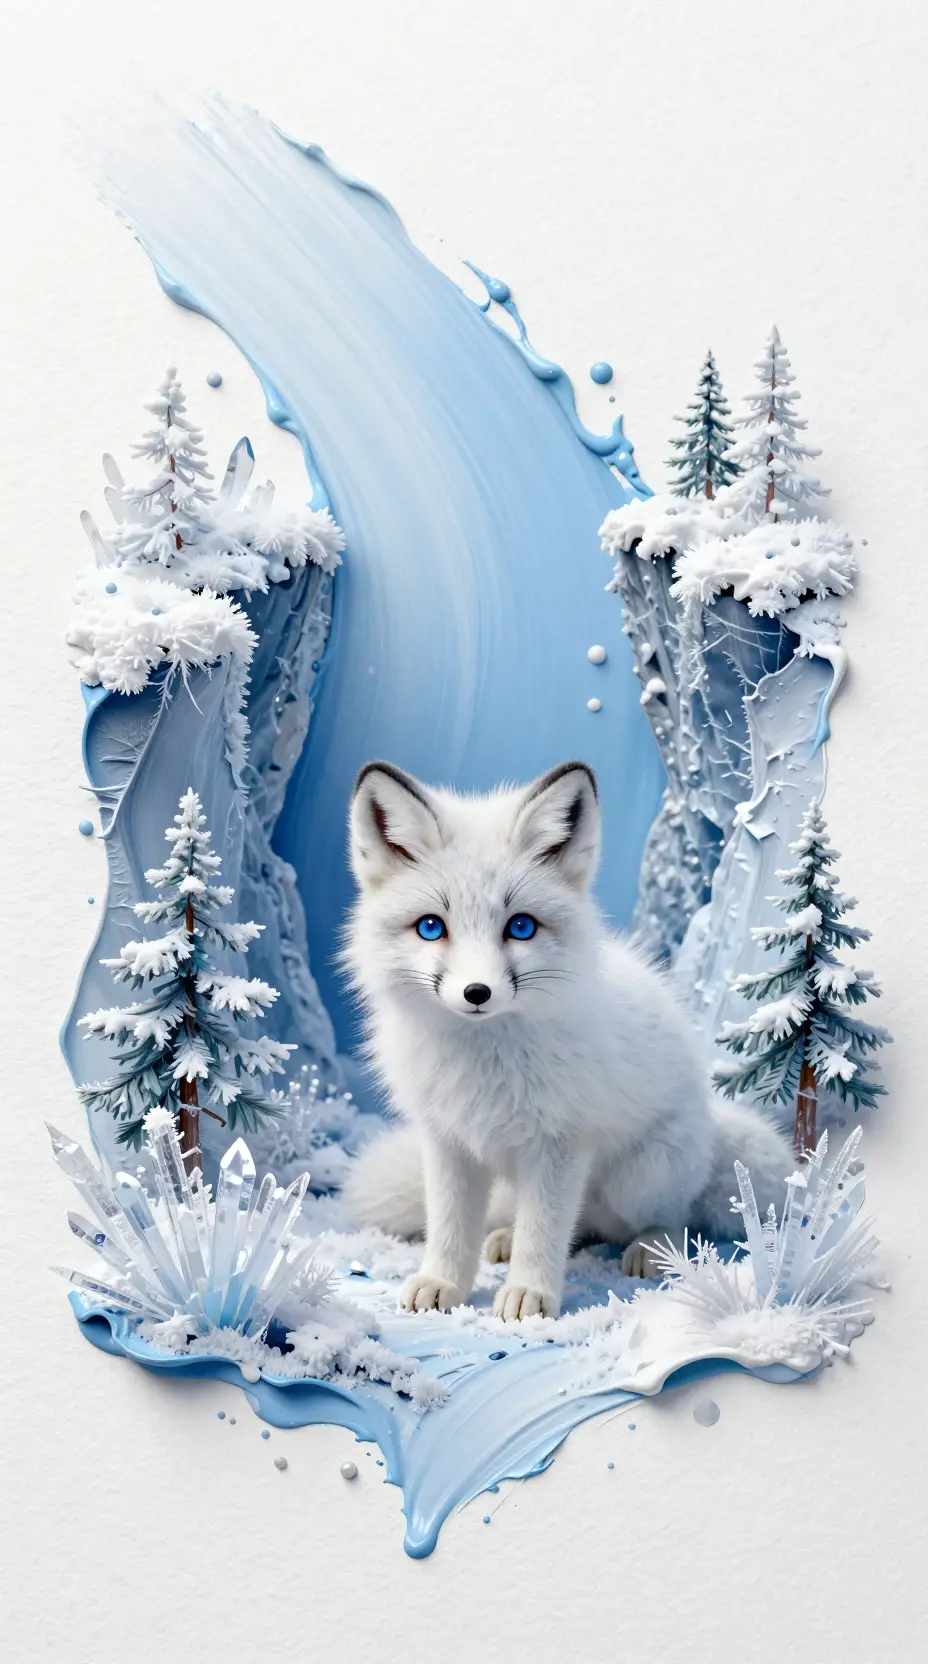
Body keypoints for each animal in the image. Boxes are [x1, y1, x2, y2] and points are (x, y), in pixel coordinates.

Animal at [340, 758, 793, 1320]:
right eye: (430, 927)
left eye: (520, 927)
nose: (476, 993)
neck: (483, 1063)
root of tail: (710, 1123)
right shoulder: (448, 1142)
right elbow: (449, 1228)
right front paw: (442, 1282)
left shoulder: (560, 1144)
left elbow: (545, 1233)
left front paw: (529, 1295)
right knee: (573, 1227)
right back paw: (505, 1236)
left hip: (641, 1177)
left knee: (672, 1218)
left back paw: (652, 1247)